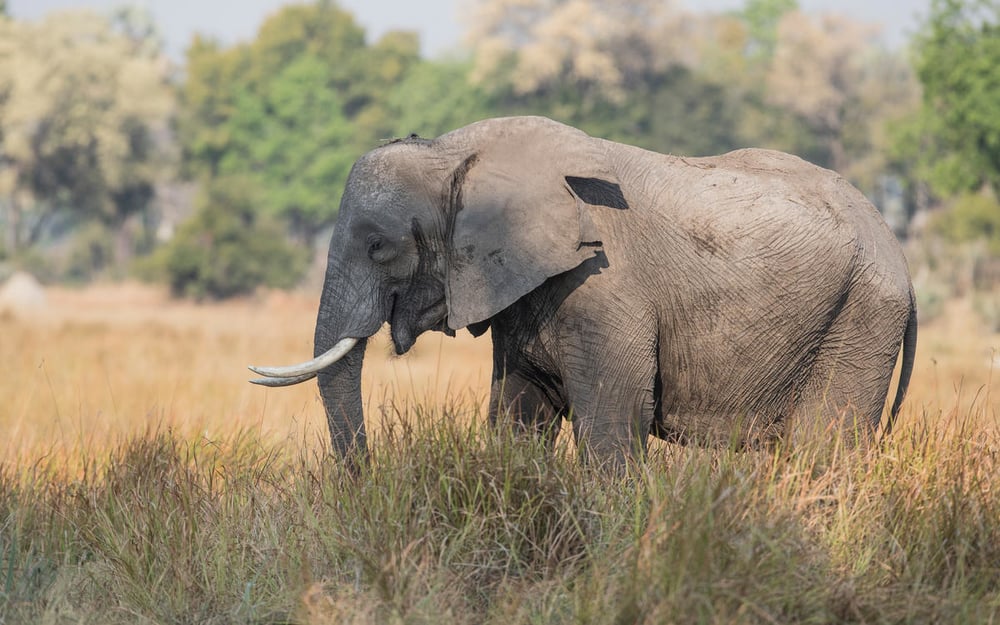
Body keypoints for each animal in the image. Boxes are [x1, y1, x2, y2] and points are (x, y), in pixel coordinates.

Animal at [248, 117, 916, 468]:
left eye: (377, 246)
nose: (368, 479)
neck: (455, 151)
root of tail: (897, 249)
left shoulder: (606, 289)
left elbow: (611, 429)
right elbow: (517, 414)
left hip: (860, 320)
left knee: (825, 450)